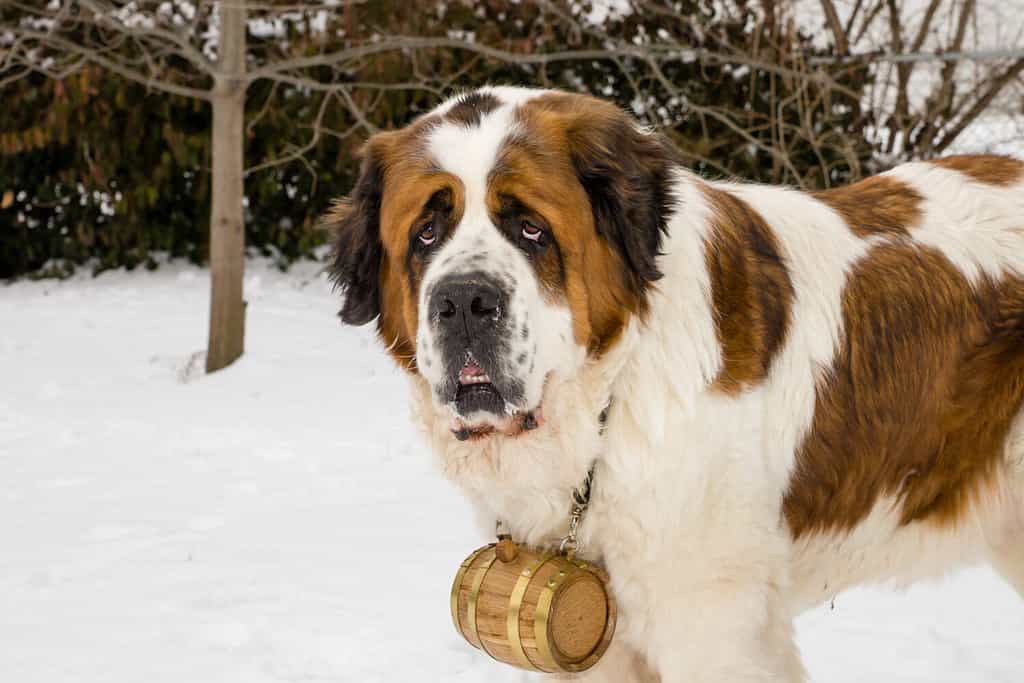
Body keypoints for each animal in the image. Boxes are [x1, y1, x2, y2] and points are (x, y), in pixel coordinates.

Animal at [325, 88, 1024, 679]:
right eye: (425, 233)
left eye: (531, 228)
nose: (465, 301)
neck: (609, 400)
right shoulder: (599, 643)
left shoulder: (710, 623)